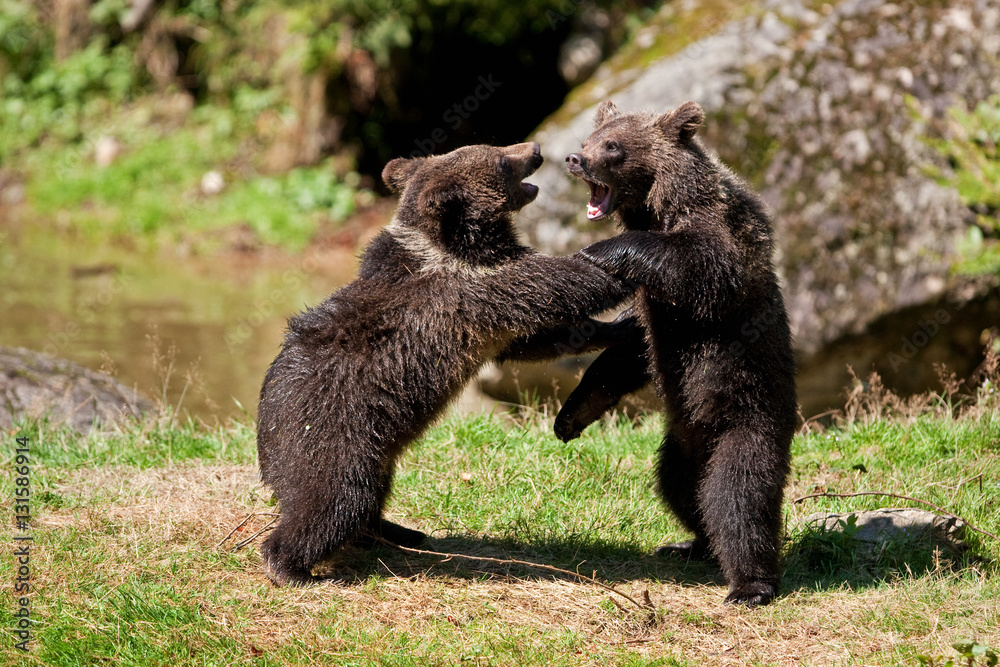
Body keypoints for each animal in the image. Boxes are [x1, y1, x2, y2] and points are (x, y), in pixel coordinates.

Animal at [256, 141, 635, 586]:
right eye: (500, 159)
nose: (536, 149)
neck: (457, 245)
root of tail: (266, 439)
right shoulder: (476, 290)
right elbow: (558, 284)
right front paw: (627, 259)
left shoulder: (488, 315)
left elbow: (535, 338)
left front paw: (620, 326)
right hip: (332, 435)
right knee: (334, 502)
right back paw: (292, 567)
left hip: (374, 446)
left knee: (372, 491)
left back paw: (398, 531)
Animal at [557, 101, 798, 607]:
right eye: (591, 139)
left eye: (613, 146)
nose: (575, 158)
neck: (658, 208)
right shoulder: (657, 323)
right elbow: (627, 355)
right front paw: (570, 415)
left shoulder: (718, 250)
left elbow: (702, 263)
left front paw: (596, 251)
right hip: (681, 447)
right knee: (682, 491)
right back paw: (691, 543)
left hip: (747, 418)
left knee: (737, 497)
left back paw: (750, 584)